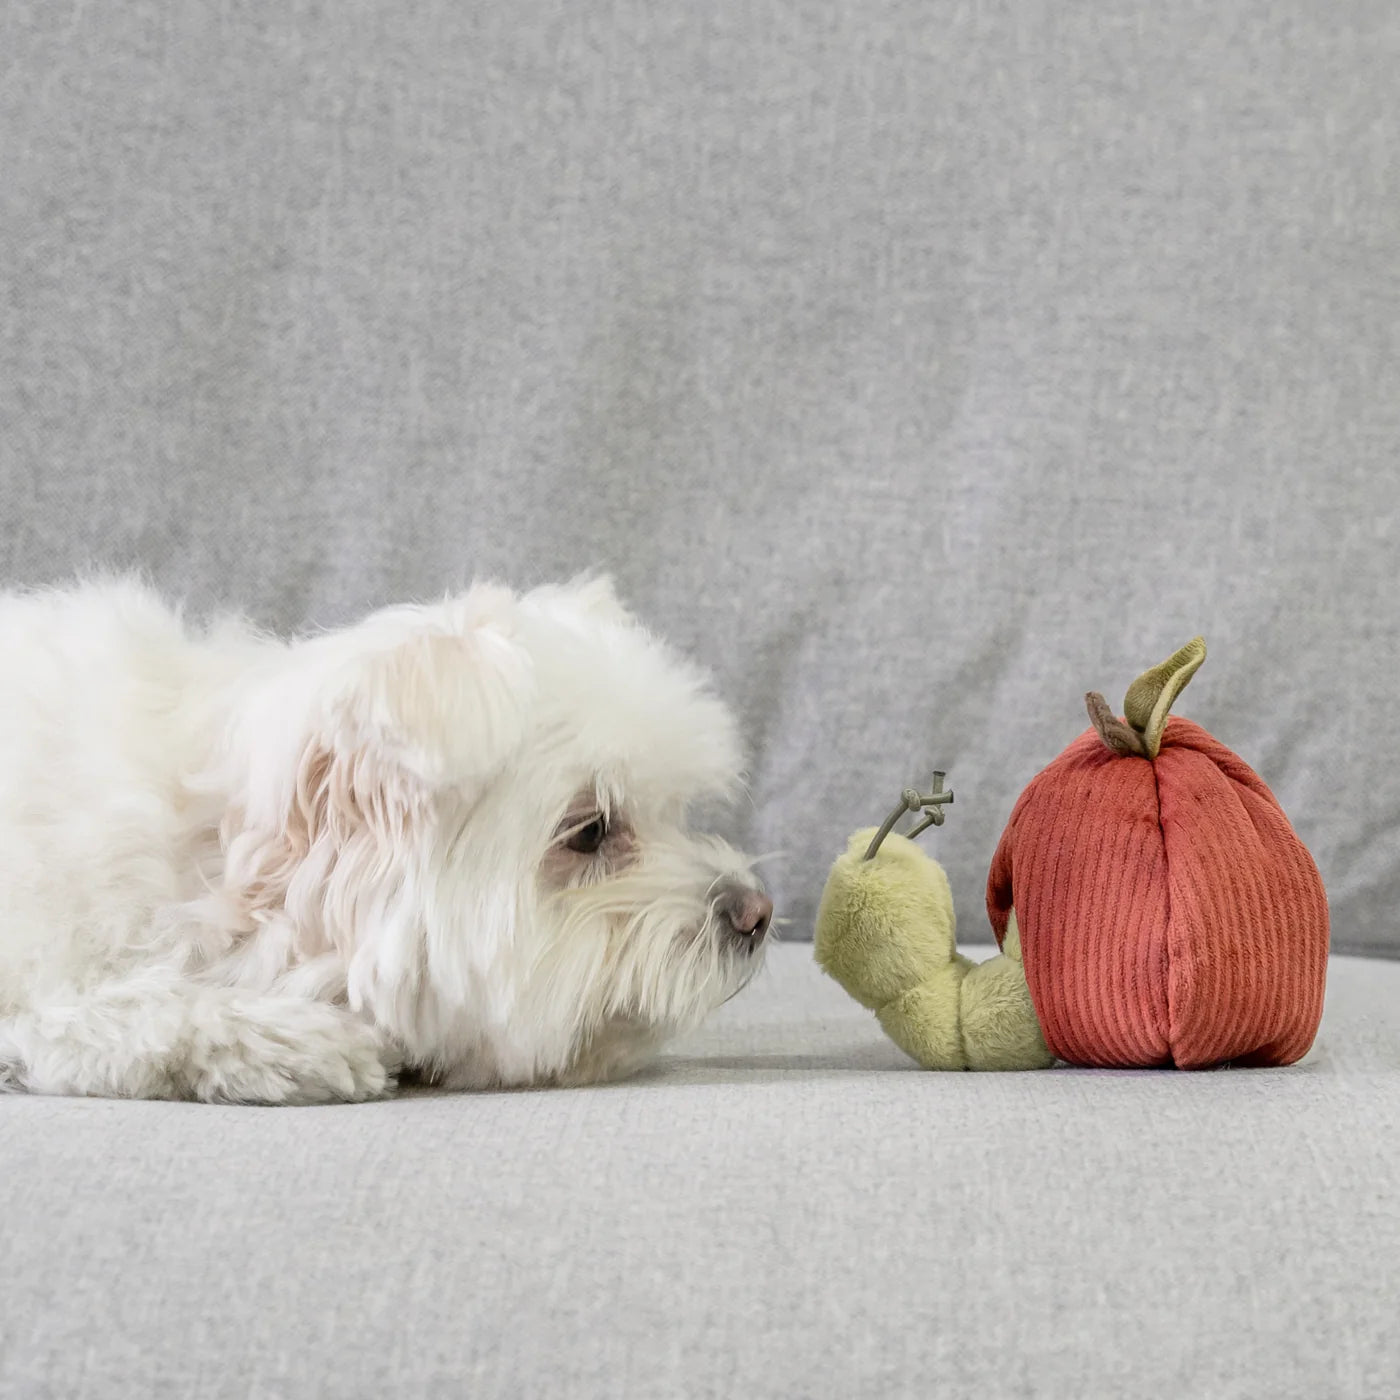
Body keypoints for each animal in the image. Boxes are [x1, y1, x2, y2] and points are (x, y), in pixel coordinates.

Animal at [0, 574, 772, 1097]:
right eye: (590, 832)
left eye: (678, 810)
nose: (755, 913)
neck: (215, 866)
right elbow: (112, 1010)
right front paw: (291, 1041)